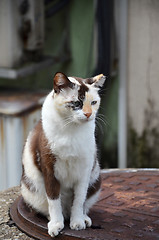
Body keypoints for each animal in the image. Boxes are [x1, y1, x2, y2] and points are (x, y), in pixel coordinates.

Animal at [20, 71, 105, 236]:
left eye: (93, 102)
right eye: (77, 103)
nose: (88, 114)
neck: (71, 129)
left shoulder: (85, 169)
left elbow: (79, 199)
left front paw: (77, 221)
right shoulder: (48, 169)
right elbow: (53, 200)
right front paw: (55, 224)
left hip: (95, 181)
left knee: (83, 204)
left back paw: (84, 218)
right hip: (30, 189)